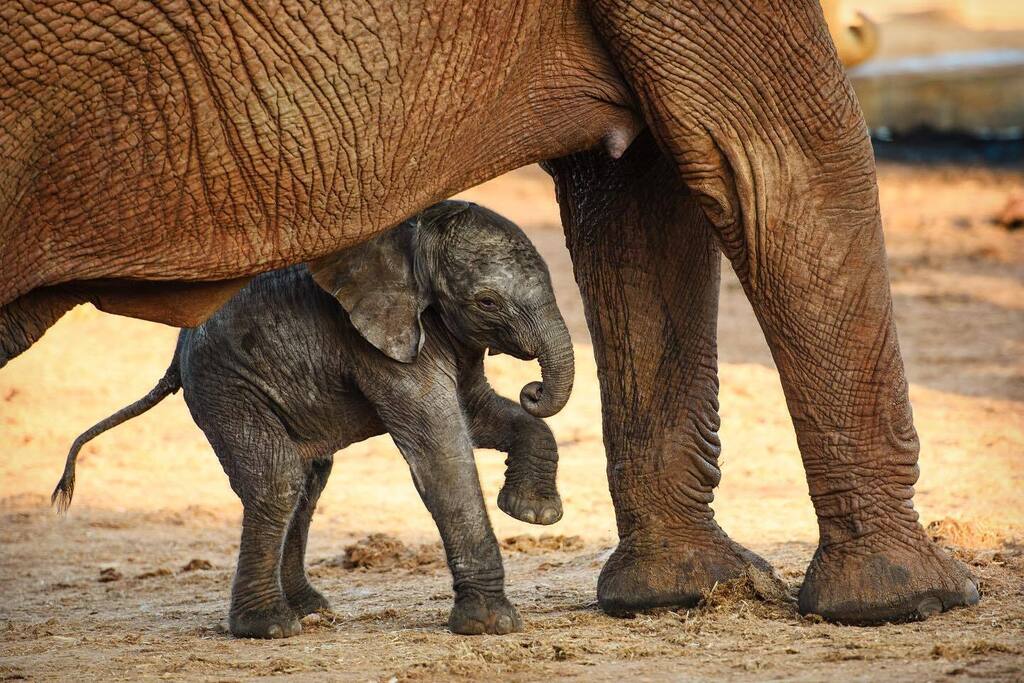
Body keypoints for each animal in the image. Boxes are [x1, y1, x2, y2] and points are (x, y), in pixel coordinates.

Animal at [51, 200, 573, 638]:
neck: (412, 242)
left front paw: (531, 512)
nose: (533, 388)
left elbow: (481, 413)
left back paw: (308, 609)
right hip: (226, 385)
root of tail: (177, 352)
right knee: (277, 478)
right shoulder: (376, 343)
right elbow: (442, 448)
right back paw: (269, 627)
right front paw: (490, 625)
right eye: (487, 302)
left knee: (308, 481)